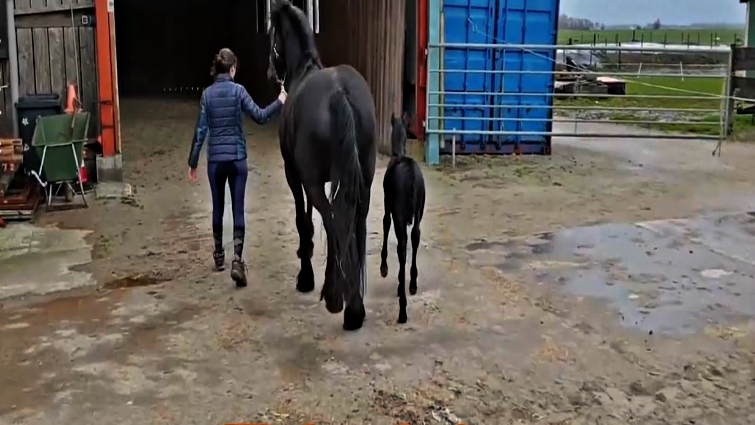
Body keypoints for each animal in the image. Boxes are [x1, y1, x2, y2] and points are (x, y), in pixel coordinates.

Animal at [267, 0, 377, 331]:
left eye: (271, 32)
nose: (270, 71)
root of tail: (339, 91)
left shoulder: (295, 174)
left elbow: (302, 221)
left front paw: (305, 275)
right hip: (363, 182)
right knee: (354, 223)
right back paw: (355, 304)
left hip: (315, 183)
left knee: (331, 221)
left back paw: (337, 299)